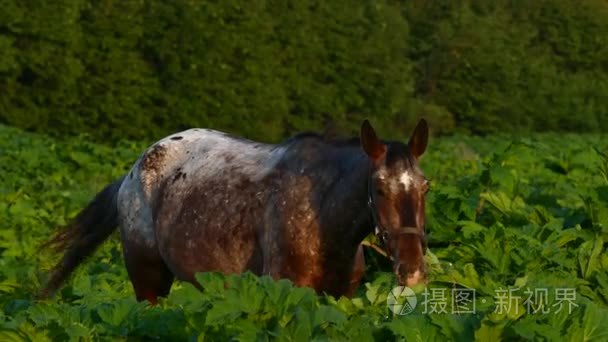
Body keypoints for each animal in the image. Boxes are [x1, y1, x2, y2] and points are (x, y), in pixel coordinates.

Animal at [40, 119, 430, 304]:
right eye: (379, 188)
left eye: (425, 186)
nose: (412, 271)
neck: (322, 224)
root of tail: (132, 173)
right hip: (147, 281)